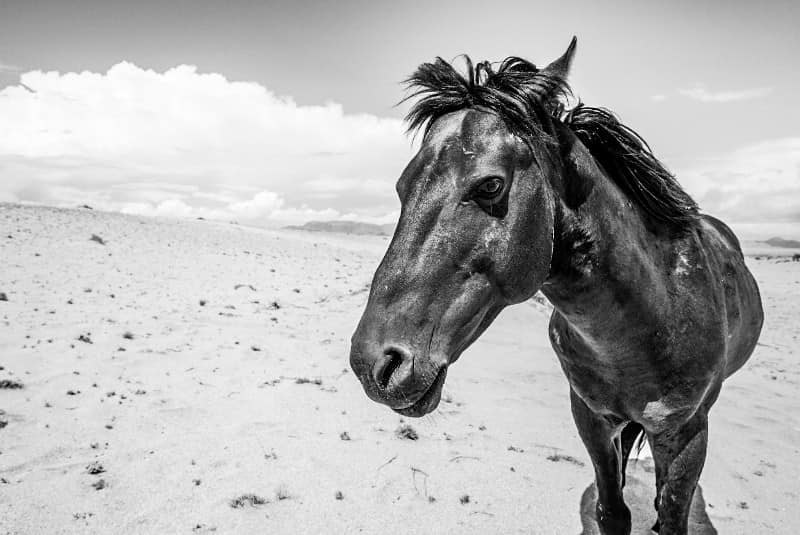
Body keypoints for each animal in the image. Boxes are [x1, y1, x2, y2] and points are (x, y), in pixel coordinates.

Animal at [348, 38, 764, 535]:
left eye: (490, 186)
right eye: (401, 186)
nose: (373, 364)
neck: (652, 319)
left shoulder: (687, 433)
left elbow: (671, 514)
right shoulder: (591, 417)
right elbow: (612, 510)